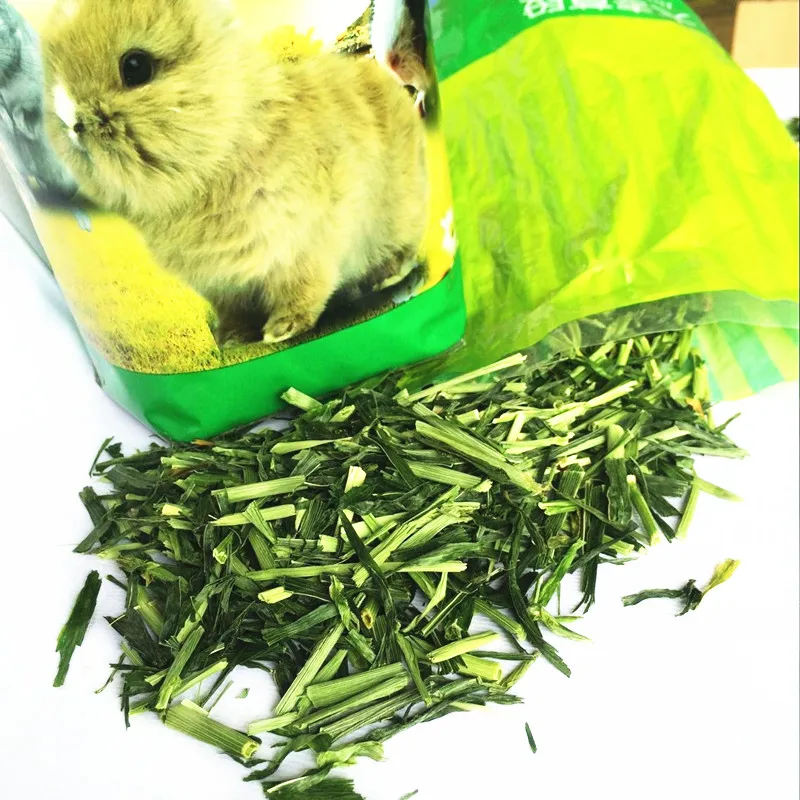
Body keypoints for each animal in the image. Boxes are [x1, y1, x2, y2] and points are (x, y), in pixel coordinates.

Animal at [40, 0, 428, 345]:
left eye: (136, 66)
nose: (72, 123)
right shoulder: (223, 284)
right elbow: (235, 310)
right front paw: (232, 339)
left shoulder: (305, 246)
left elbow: (304, 289)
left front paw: (280, 330)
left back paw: (388, 275)